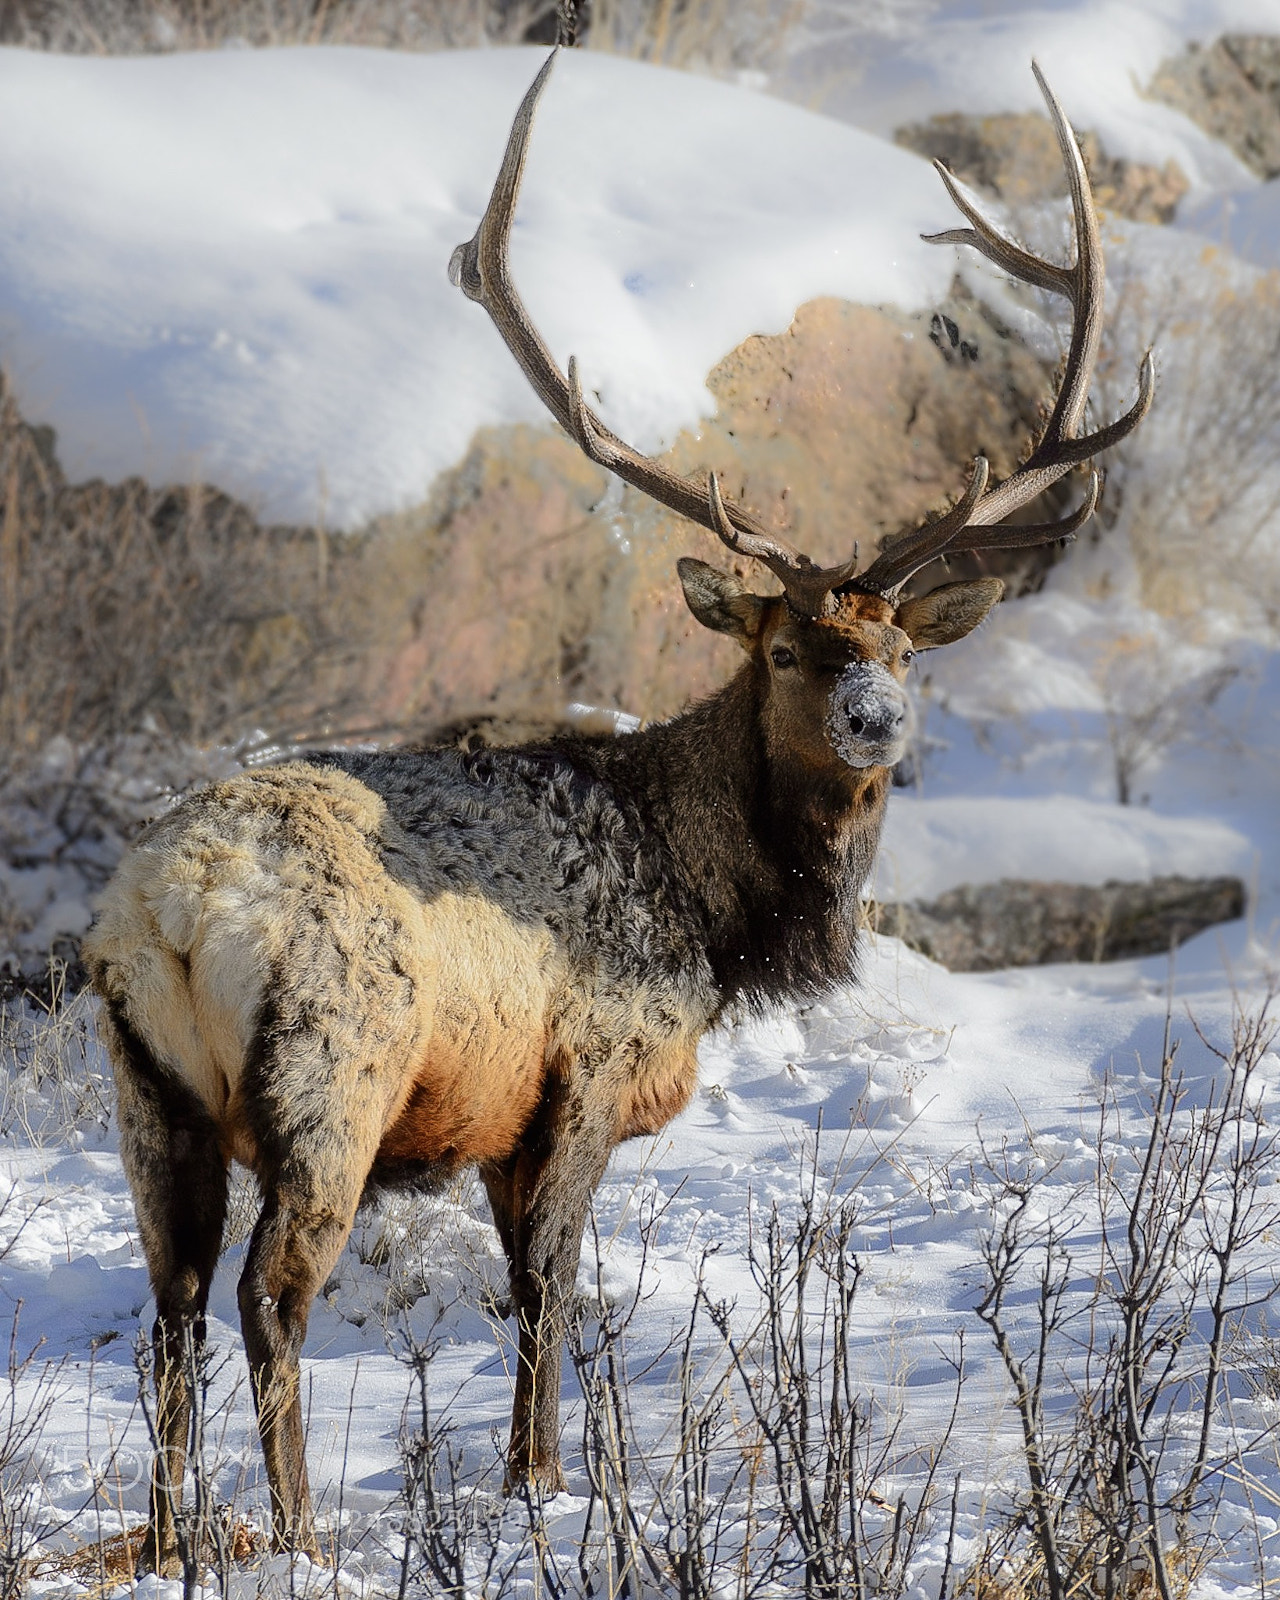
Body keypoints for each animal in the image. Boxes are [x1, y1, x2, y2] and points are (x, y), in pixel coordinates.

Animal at [84, 52, 1151, 1575]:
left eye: (898, 647)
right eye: (786, 648)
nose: (875, 720)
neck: (711, 914)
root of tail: (171, 914)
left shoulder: (496, 1115)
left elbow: (528, 1280)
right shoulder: (583, 1062)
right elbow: (548, 1280)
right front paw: (545, 1484)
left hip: (146, 1089)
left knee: (167, 1306)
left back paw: (177, 1537)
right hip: (331, 1070)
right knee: (265, 1298)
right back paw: (293, 1530)